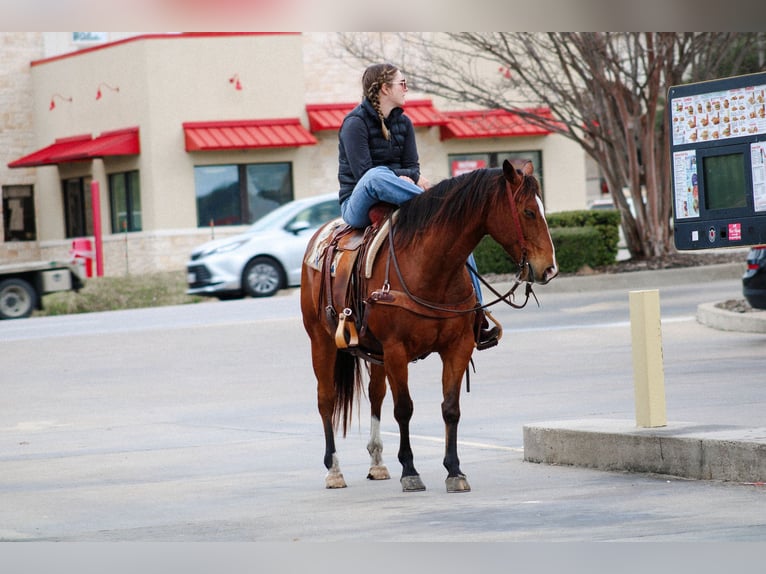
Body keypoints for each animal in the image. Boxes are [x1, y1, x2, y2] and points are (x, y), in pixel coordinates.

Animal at [300, 161, 560, 496]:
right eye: (528, 211)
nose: (550, 268)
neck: (430, 267)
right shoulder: (396, 350)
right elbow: (404, 409)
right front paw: (410, 471)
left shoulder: (457, 347)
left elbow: (450, 407)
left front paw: (454, 471)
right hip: (321, 340)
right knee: (327, 399)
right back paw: (334, 469)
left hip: (375, 353)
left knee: (375, 395)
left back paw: (377, 463)